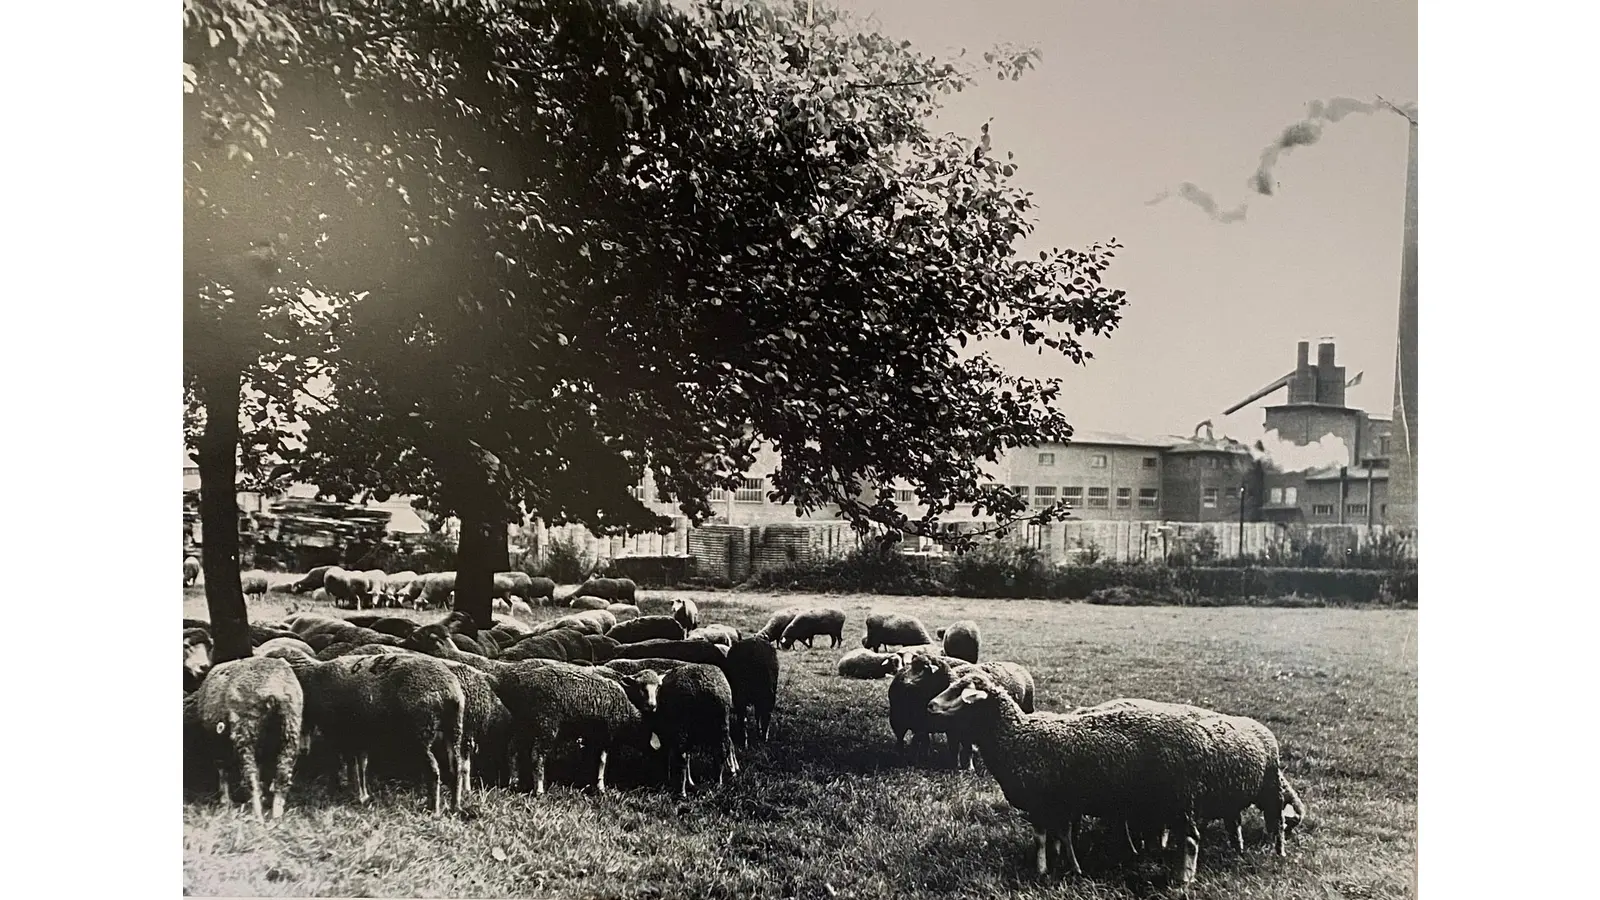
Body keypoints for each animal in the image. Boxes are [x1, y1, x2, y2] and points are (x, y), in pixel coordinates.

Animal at [190, 650, 302, 819]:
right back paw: (276, 815)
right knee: (282, 773)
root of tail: (273, 688)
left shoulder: (216, 742)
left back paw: (257, 814)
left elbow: (223, 771)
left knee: (250, 774)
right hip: (290, 726)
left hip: (245, 727)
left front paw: (225, 802)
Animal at [268, 643, 467, 813]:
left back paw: (433, 808)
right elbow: (361, 765)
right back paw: (455, 806)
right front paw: (363, 795)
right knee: (456, 768)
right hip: (454, 729)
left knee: (433, 770)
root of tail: (449, 690)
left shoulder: (341, 732)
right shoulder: (360, 735)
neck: (312, 679)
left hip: (419, 732)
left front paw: (348, 791)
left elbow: (345, 764)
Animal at [489, 659, 659, 791]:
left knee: (512, 749)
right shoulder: (606, 734)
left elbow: (589, 757)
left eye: (658, 687)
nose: (653, 706)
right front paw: (600, 787)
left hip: (524, 723)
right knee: (537, 755)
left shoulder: (591, 735)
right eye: (642, 687)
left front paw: (586, 780)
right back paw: (539, 789)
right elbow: (602, 761)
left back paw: (514, 783)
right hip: (545, 723)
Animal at [652, 659, 739, 791]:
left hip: (682, 725)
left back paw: (681, 790)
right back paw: (718, 782)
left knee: (681, 756)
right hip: (720, 722)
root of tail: (702, 684)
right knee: (722, 750)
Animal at [928, 669, 1209, 877]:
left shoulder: (1040, 800)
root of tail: (1195, 739)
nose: (930, 705)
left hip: (1177, 797)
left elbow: (1042, 837)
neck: (1015, 735)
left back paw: (1184, 879)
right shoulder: (1059, 801)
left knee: (1191, 839)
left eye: (958, 693)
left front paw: (1043, 870)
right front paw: (1067, 863)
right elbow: (1061, 835)